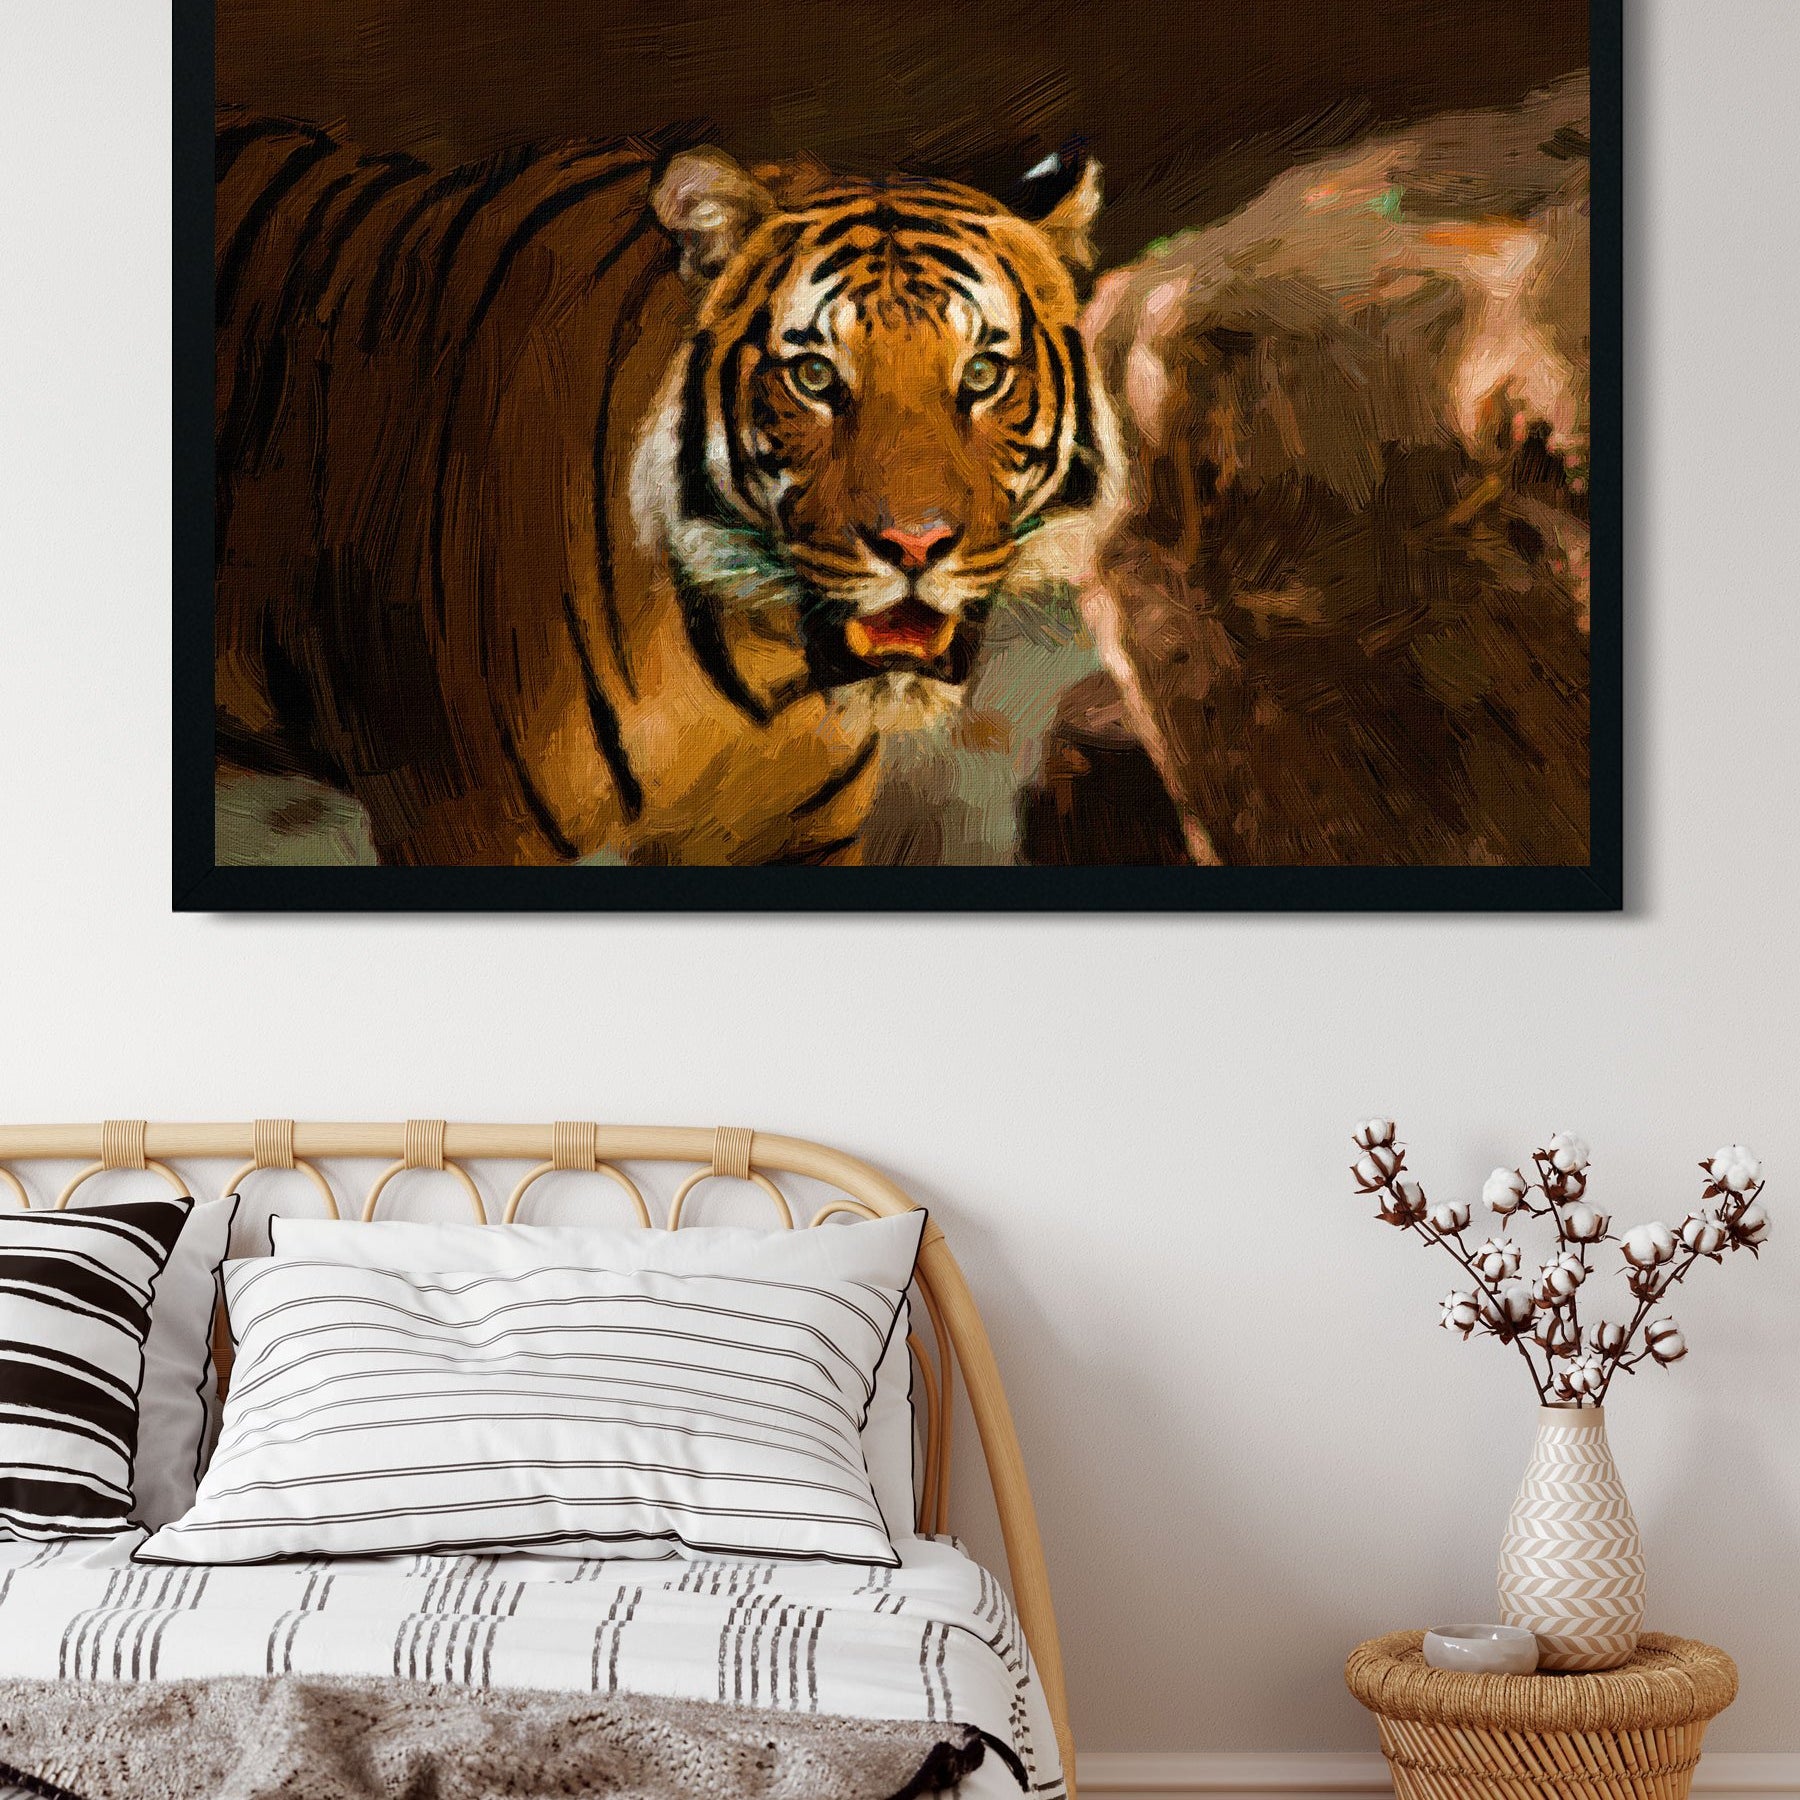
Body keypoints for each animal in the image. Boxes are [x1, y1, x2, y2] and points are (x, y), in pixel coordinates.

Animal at [213, 110, 1120, 866]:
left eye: (983, 374)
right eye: (816, 377)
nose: (915, 546)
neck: (759, 669)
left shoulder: (795, 837)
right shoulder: (463, 820)